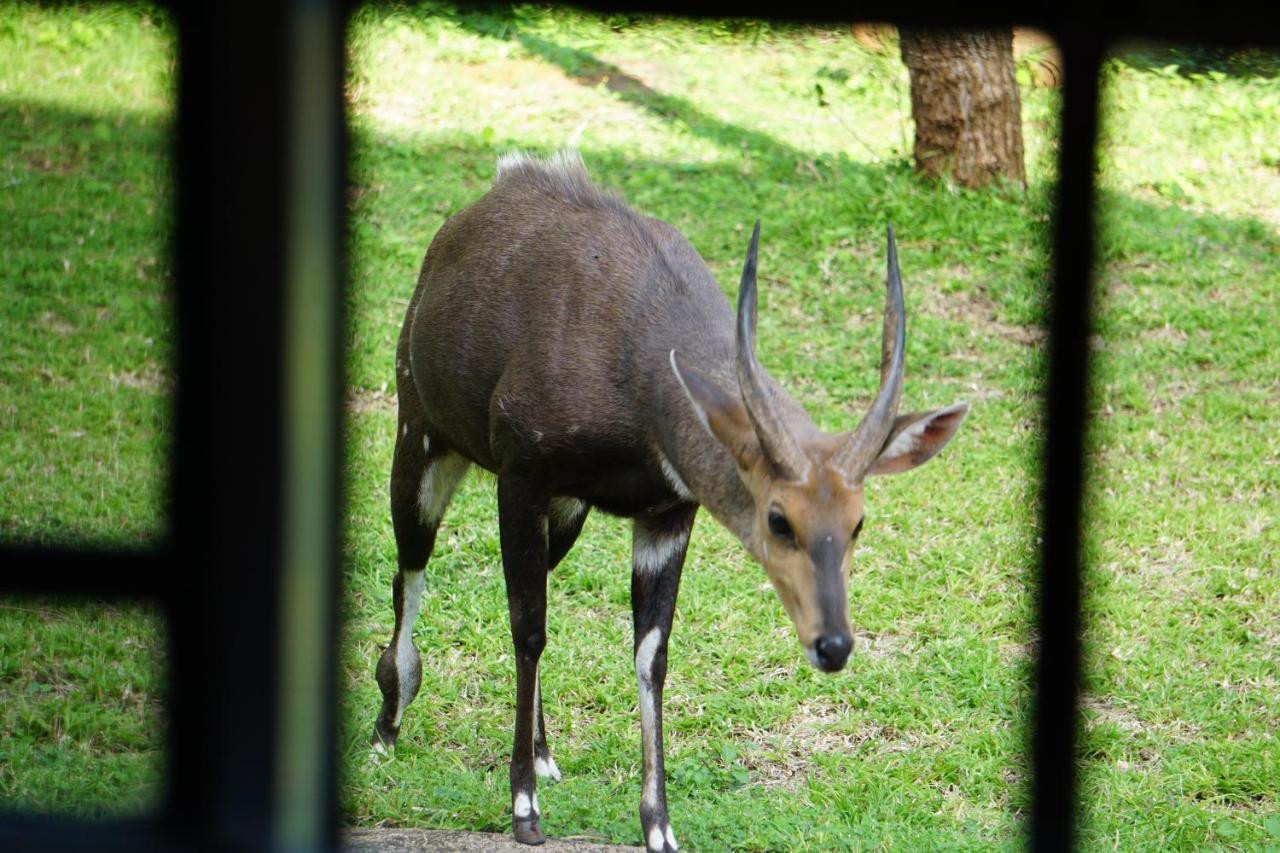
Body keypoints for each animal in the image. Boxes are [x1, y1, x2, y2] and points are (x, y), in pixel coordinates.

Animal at [373, 149, 962, 845]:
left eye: (858, 522)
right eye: (779, 519)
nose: (834, 645)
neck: (638, 374)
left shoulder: (666, 515)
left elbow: (650, 655)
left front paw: (659, 827)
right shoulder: (522, 476)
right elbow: (528, 629)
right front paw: (523, 810)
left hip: (564, 517)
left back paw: (545, 755)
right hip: (421, 440)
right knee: (410, 567)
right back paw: (388, 724)